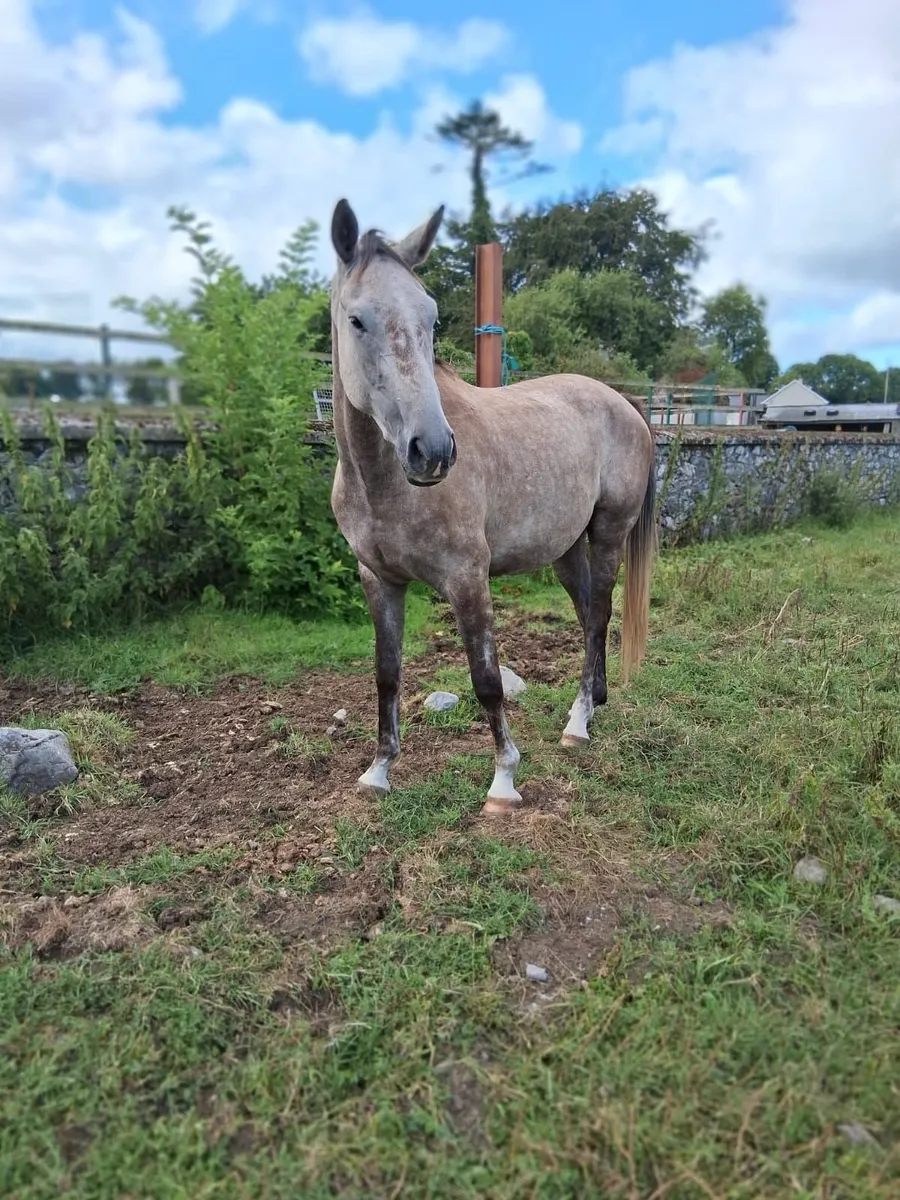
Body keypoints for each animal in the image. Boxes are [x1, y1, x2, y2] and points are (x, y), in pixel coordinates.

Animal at [327, 198, 657, 816]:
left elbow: (486, 679)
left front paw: (504, 781)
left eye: (431, 318)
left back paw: (579, 723)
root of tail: (622, 401)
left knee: (600, 614)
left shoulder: (467, 580)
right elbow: (387, 674)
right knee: (587, 617)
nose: (432, 451)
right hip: (564, 549)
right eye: (356, 320)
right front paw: (379, 771)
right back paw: (593, 703)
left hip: (608, 533)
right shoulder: (378, 579)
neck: (382, 484)